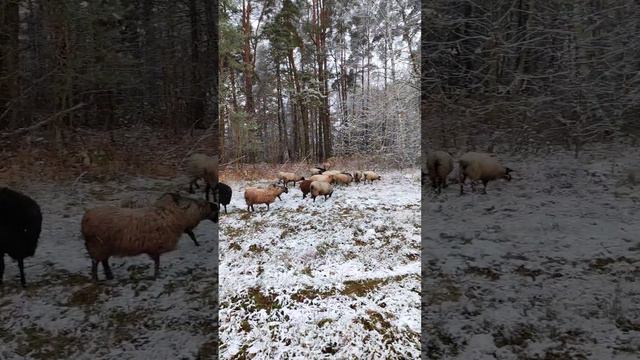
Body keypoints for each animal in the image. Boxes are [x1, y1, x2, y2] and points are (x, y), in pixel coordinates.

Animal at [82, 191, 219, 282]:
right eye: (214, 209)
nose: (217, 220)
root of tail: (86, 218)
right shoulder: (156, 245)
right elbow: (157, 262)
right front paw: (156, 276)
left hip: (104, 247)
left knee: (104, 261)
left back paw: (109, 276)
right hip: (98, 246)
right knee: (96, 263)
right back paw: (96, 280)